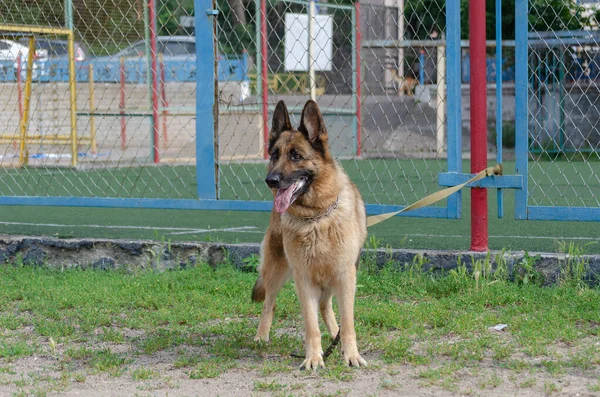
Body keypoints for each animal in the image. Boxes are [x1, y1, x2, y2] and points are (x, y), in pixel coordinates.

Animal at [248, 99, 366, 368]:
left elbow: (349, 322)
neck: (316, 218)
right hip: (276, 270)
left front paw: (351, 354)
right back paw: (261, 336)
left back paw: (335, 336)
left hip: (332, 277)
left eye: (296, 156)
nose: (270, 180)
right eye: (275, 155)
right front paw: (313, 358)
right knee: (270, 303)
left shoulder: (345, 275)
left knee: (325, 306)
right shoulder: (303, 280)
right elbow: (311, 325)